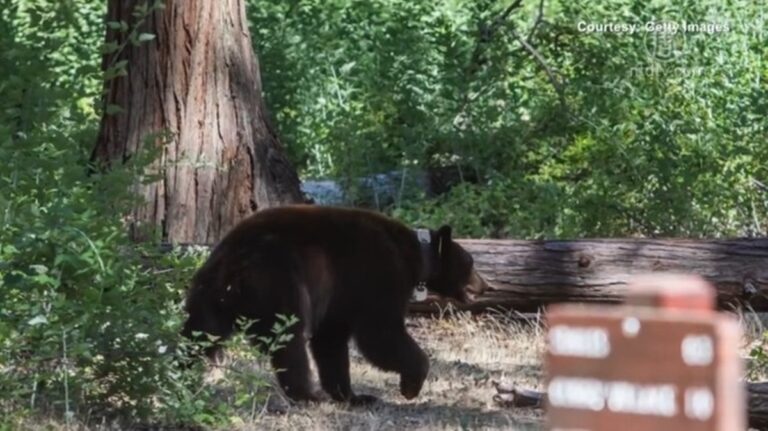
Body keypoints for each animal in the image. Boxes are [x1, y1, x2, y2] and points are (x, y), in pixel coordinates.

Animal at [180, 204, 477, 405]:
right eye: (471, 262)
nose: (483, 284)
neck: (416, 256)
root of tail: (233, 261)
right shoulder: (377, 273)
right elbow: (380, 334)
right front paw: (411, 384)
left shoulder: (341, 296)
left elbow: (331, 341)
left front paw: (353, 396)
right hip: (278, 279)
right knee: (289, 338)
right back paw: (307, 394)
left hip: (209, 294)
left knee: (200, 333)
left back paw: (182, 374)